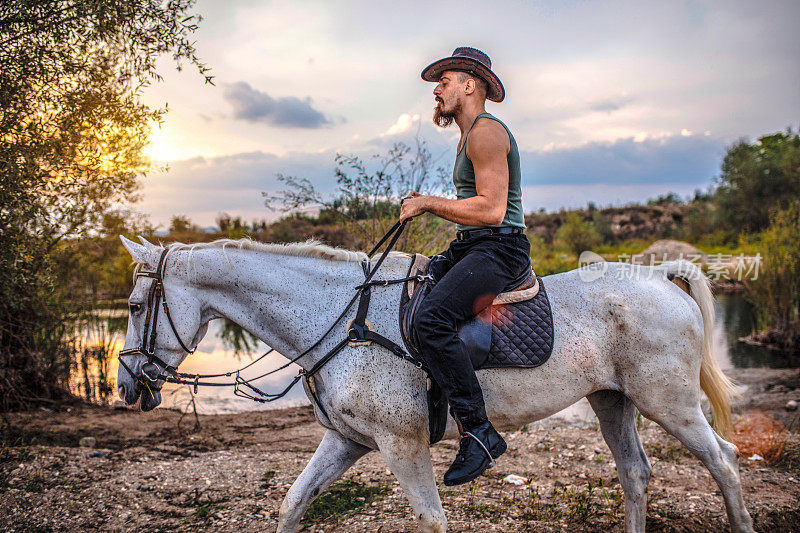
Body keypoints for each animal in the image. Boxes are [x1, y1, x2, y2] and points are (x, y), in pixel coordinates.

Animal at [115, 237, 752, 532]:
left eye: (135, 305)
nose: (126, 386)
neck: (344, 323)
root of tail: (661, 276)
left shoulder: (402, 445)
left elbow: (431, 519)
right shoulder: (347, 441)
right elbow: (294, 503)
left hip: (669, 402)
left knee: (724, 460)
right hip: (613, 401)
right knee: (636, 474)